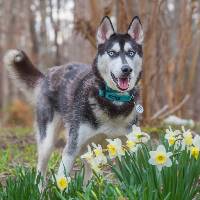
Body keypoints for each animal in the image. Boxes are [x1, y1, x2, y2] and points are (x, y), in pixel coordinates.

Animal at [3, 16, 144, 181]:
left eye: (131, 52)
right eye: (112, 53)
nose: (126, 69)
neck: (113, 102)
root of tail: (48, 74)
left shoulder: (125, 148)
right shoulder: (72, 148)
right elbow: (61, 178)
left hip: (89, 150)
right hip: (48, 141)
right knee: (41, 169)